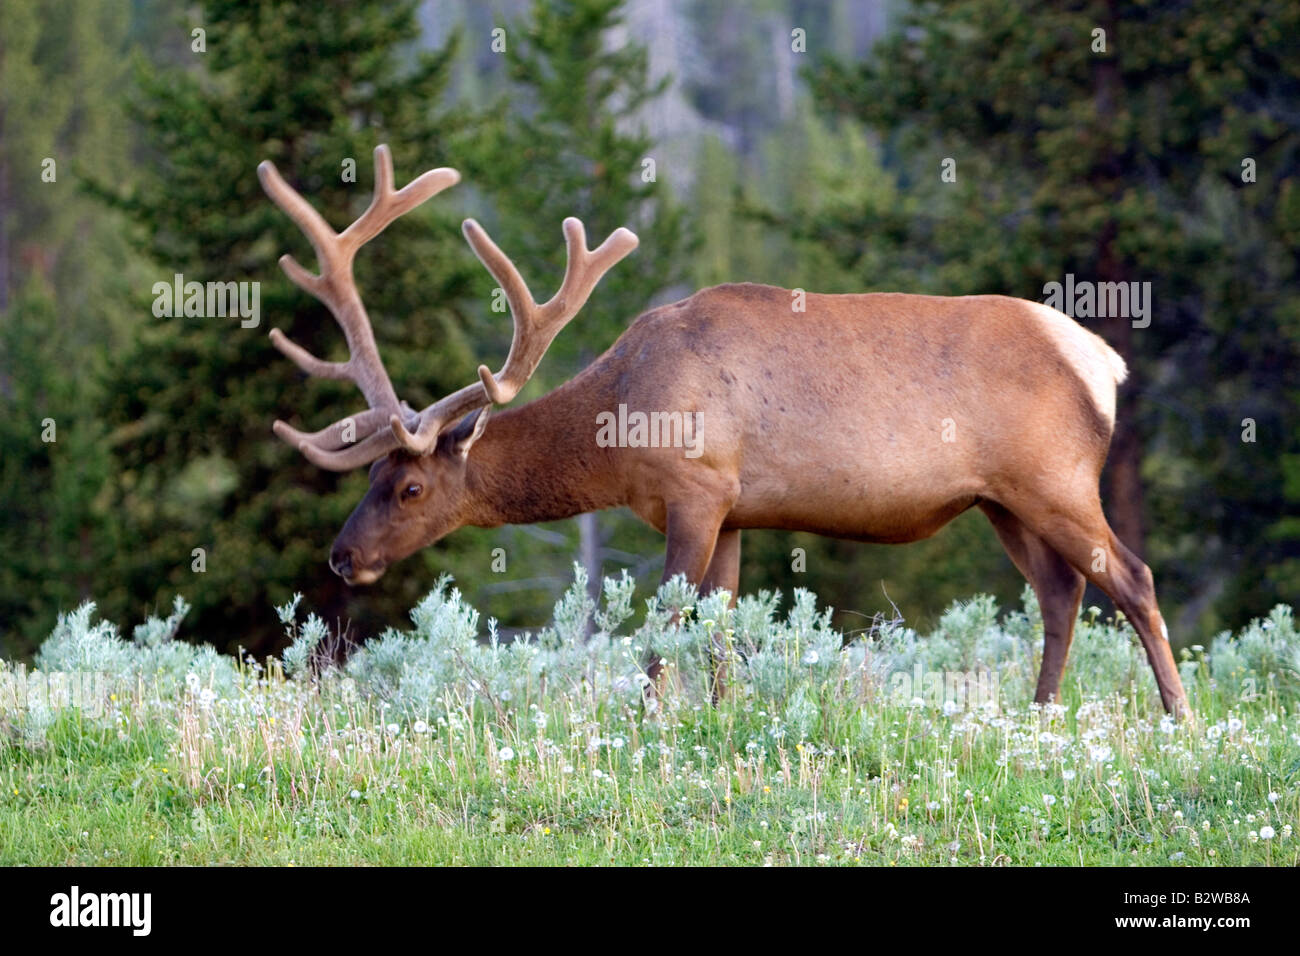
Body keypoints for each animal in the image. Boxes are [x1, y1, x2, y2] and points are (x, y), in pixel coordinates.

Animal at [256, 147, 1190, 717]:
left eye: (411, 486)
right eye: (369, 478)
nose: (342, 556)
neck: (624, 417)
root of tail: (1105, 362)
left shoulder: (697, 487)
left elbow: (666, 624)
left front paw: (644, 723)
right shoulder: (736, 511)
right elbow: (720, 631)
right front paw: (720, 719)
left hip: (1055, 476)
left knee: (1132, 577)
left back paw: (1178, 717)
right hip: (1000, 499)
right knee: (1062, 592)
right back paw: (1041, 714)